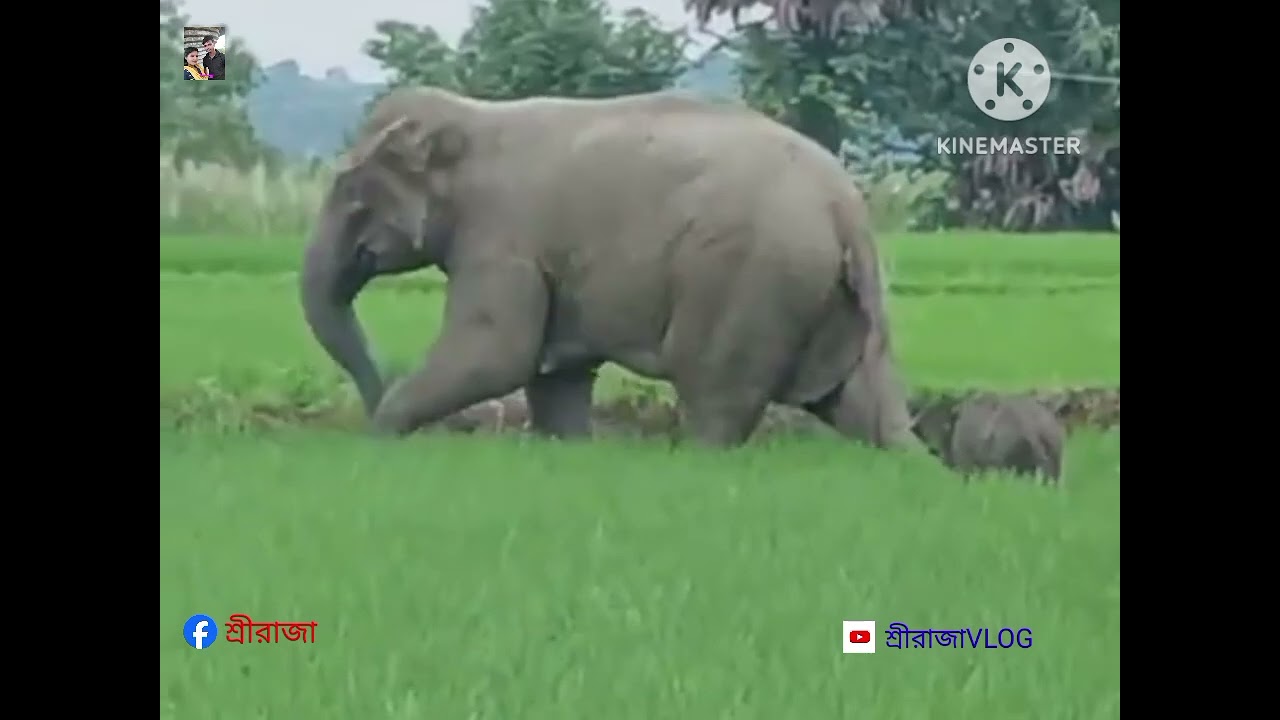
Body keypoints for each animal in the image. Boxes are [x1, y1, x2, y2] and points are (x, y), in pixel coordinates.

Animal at [299, 86, 925, 450]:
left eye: (351, 195)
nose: (374, 398)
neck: (470, 118)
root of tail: (845, 207)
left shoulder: (503, 238)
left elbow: (497, 353)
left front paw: (382, 434)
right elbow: (555, 374)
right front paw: (570, 449)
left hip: (748, 283)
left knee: (713, 394)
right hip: (837, 298)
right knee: (863, 405)